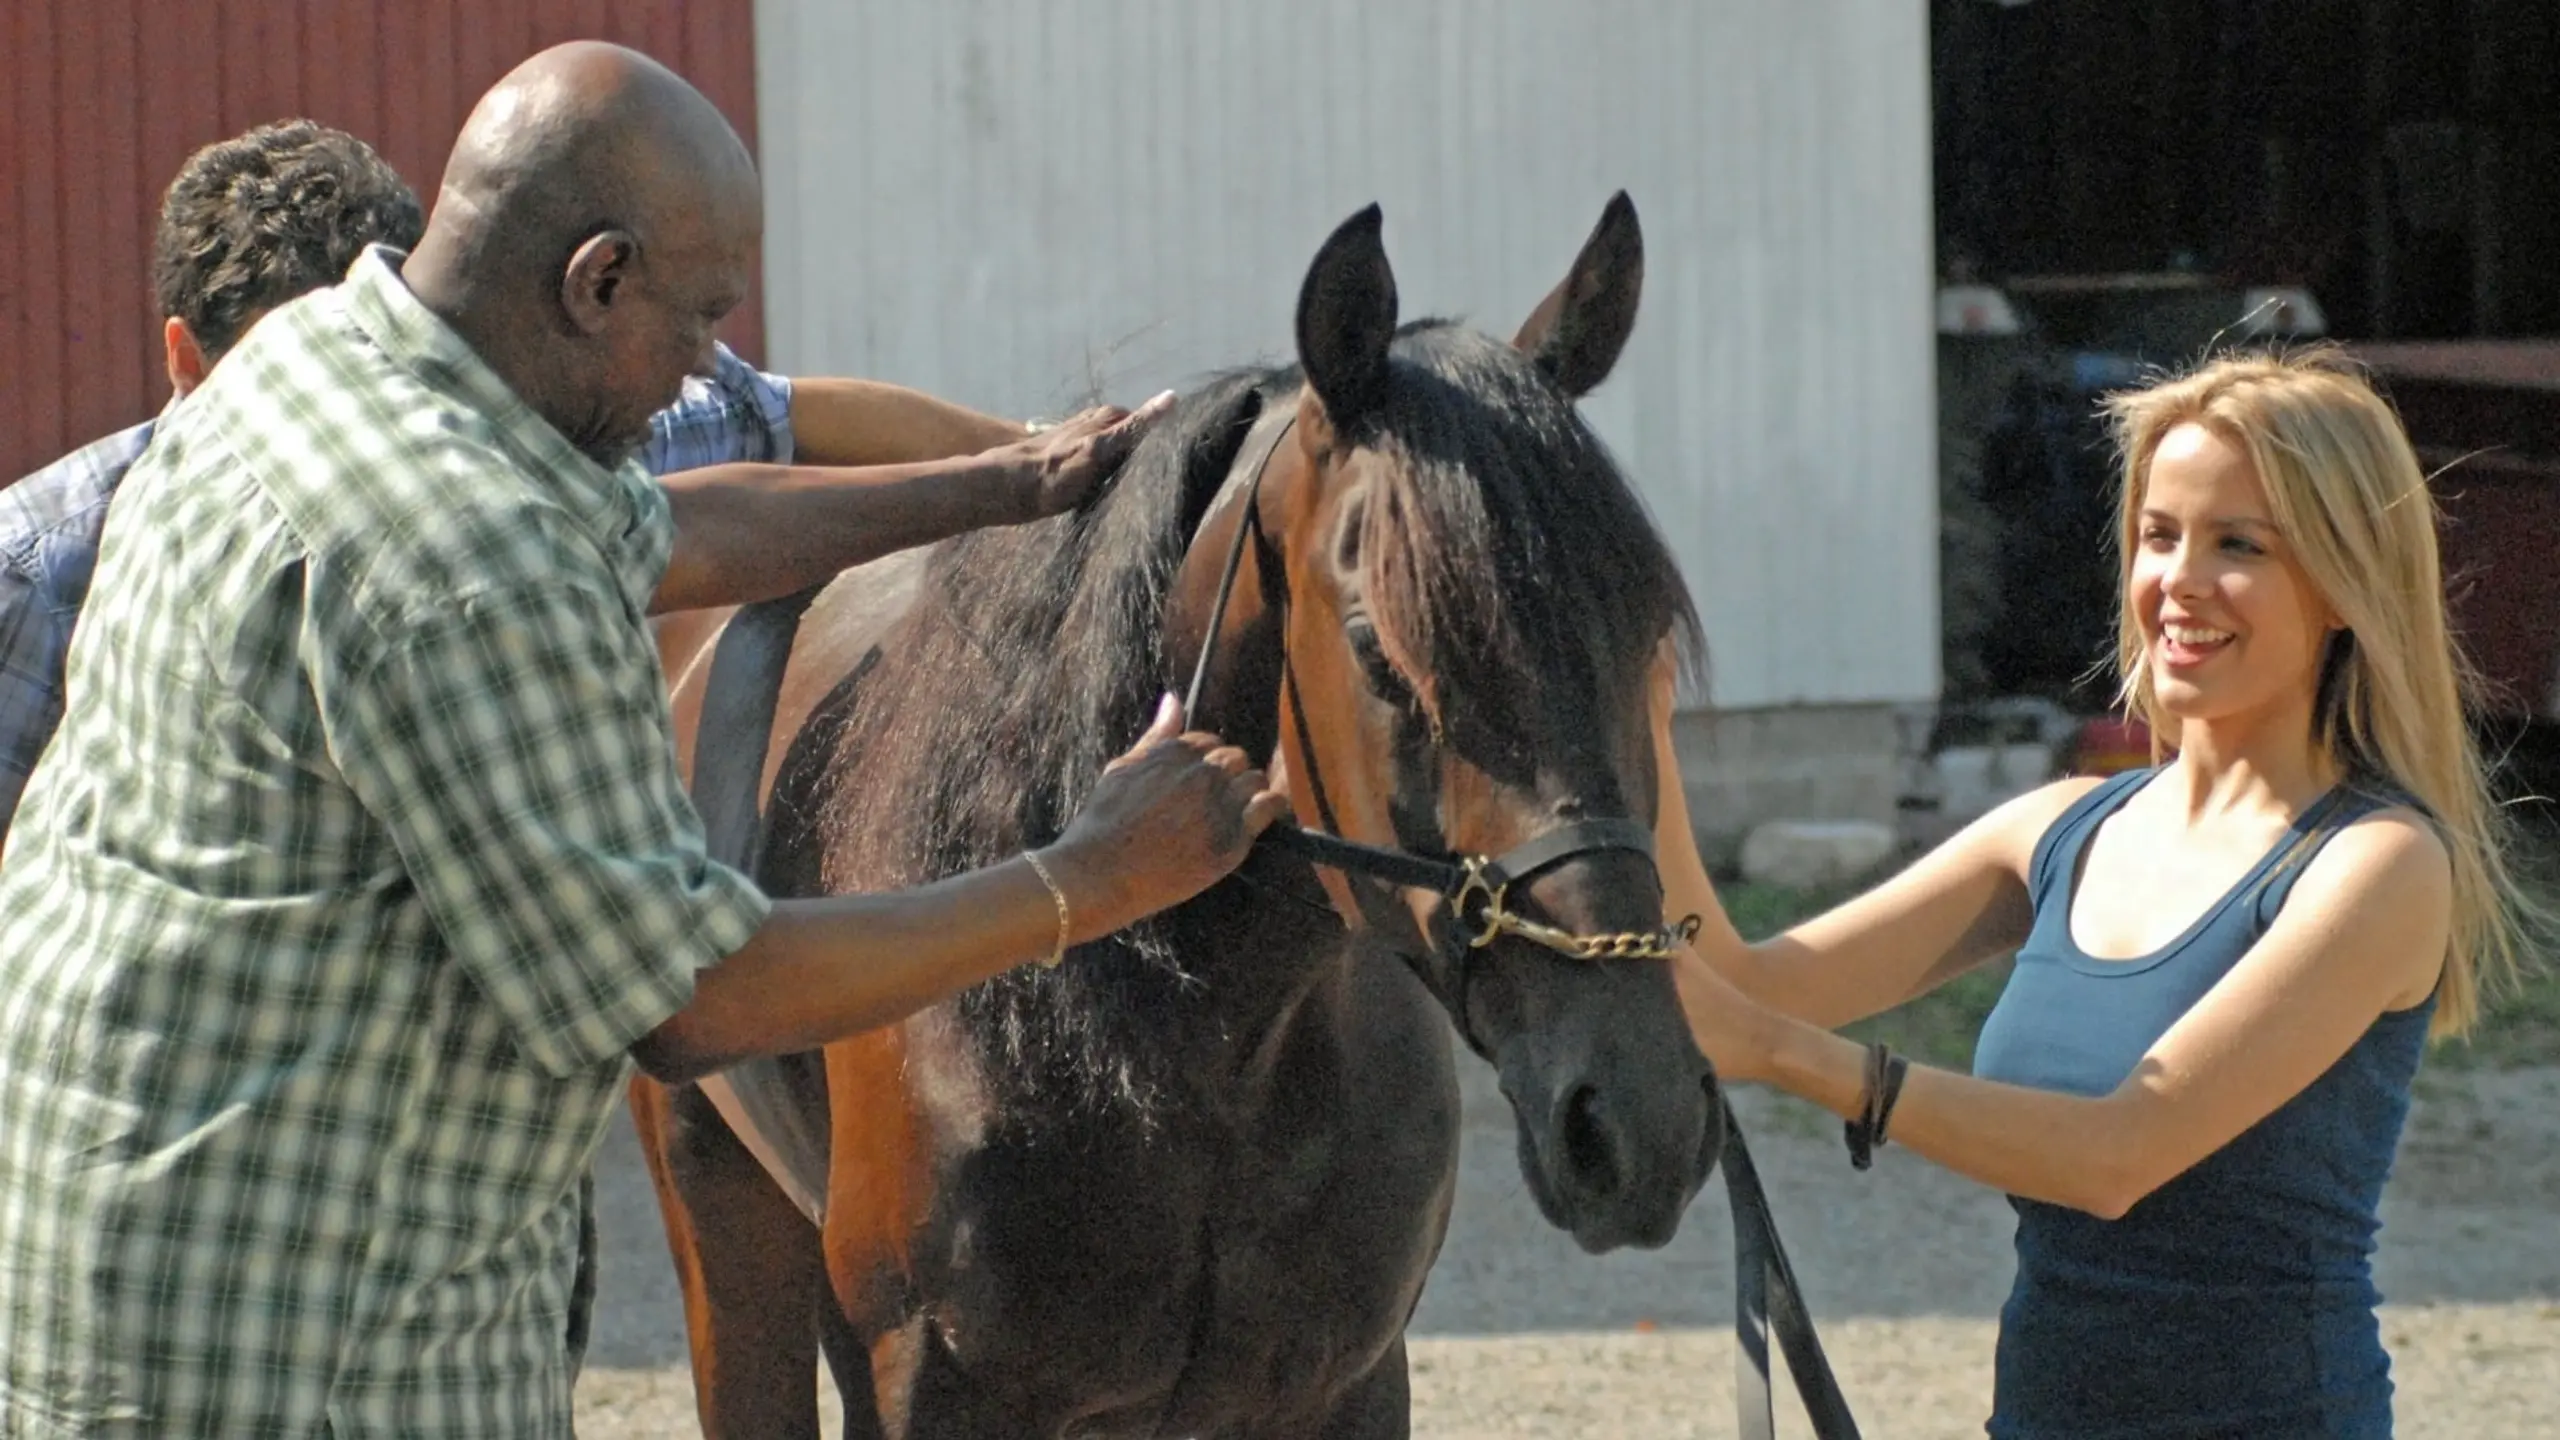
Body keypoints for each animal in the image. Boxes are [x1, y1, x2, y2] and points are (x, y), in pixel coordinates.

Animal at [634, 193, 1843, 1434]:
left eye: (1644, 642)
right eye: (1379, 651)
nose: (1635, 1123)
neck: (1200, 1052)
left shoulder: (1347, 1384)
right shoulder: (936, 1391)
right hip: (716, 1222)